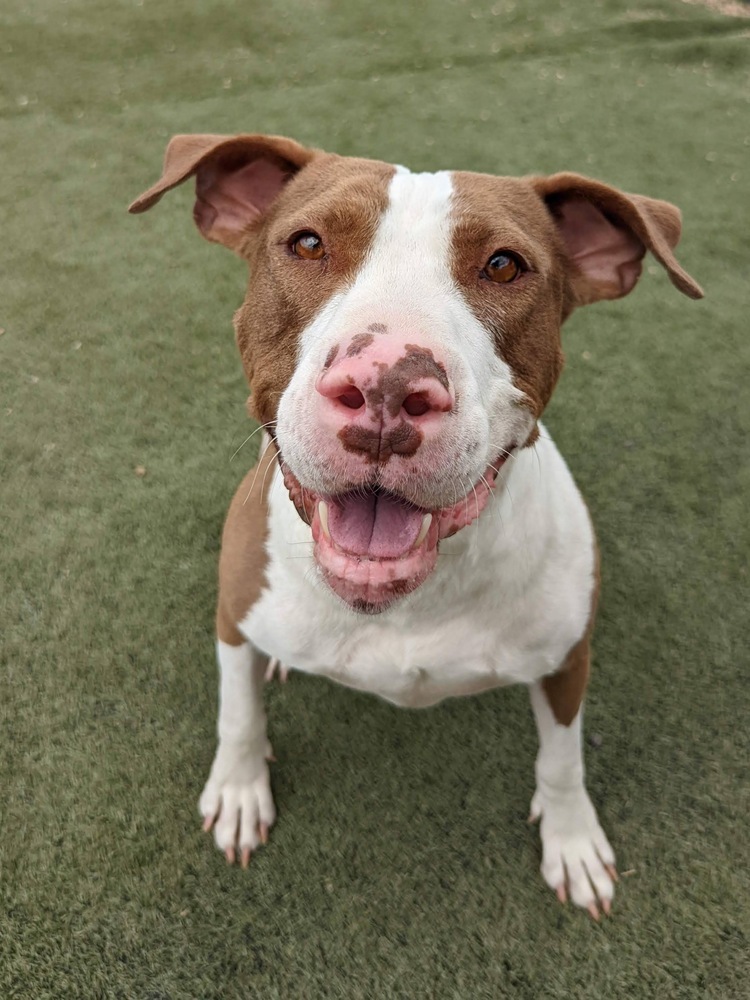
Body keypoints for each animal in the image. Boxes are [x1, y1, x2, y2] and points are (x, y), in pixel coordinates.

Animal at [131, 137, 704, 916]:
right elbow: (237, 712)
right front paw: (240, 790)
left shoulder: (567, 658)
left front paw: (572, 839)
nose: (387, 384)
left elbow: (562, 757)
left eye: (504, 265)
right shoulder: (233, 612)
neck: (411, 601)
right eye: (307, 244)